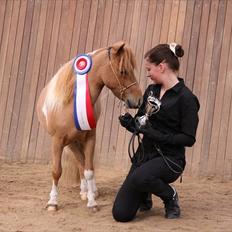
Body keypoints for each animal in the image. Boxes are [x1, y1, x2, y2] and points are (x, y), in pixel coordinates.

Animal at [36, 40, 142, 211]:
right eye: (123, 71)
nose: (138, 100)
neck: (70, 103)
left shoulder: (90, 138)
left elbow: (89, 170)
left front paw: (92, 202)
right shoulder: (58, 141)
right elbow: (57, 171)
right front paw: (52, 202)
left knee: (84, 164)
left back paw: (90, 191)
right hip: (71, 142)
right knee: (80, 162)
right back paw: (84, 191)